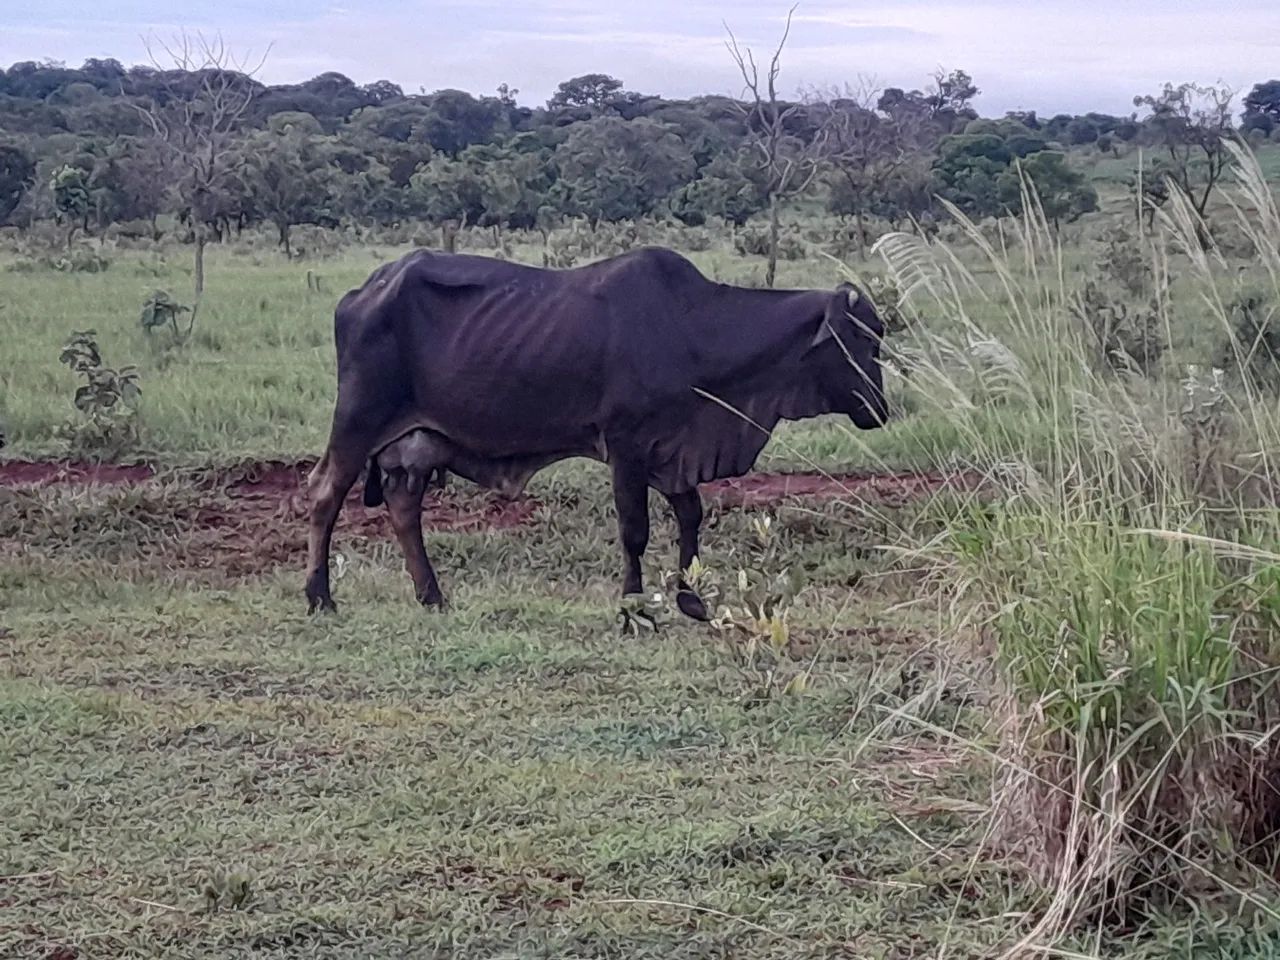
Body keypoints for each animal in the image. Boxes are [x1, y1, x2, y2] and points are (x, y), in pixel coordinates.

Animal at [305, 246, 888, 622]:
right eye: (860, 339)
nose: (881, 409)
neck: (695, 330)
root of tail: (364, 291)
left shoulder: (672, 452)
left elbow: (691, 515)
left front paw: (691, 600)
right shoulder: (626, 449)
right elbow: (635, 532)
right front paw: (633, 607)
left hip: (417, 443)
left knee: (405, 510)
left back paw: (432, 596)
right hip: (358, 422)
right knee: (325, 494)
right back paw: (320, 597)